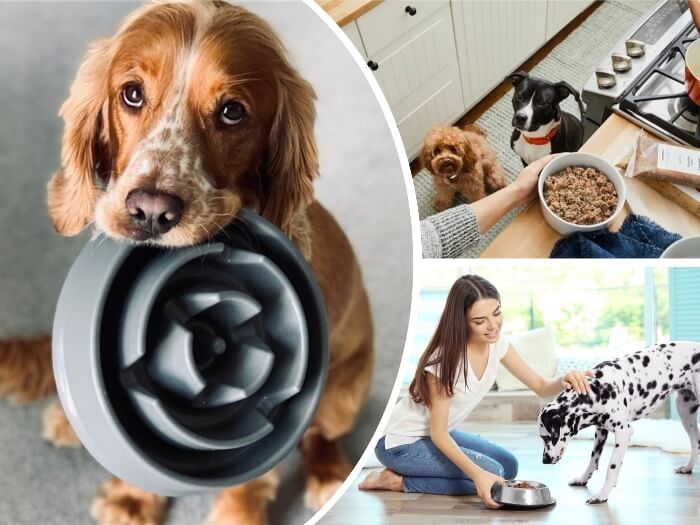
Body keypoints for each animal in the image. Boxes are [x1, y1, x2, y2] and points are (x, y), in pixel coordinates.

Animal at [540, 340, 700, 504]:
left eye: (545, 437)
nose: (544, 460)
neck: (598, 390)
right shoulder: (601, 431)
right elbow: (593, 460)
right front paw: (583, 479)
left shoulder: (623, 433)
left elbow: (612, 467)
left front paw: (603, 494)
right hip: (685, 413)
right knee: (696, 444)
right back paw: (688, 468)